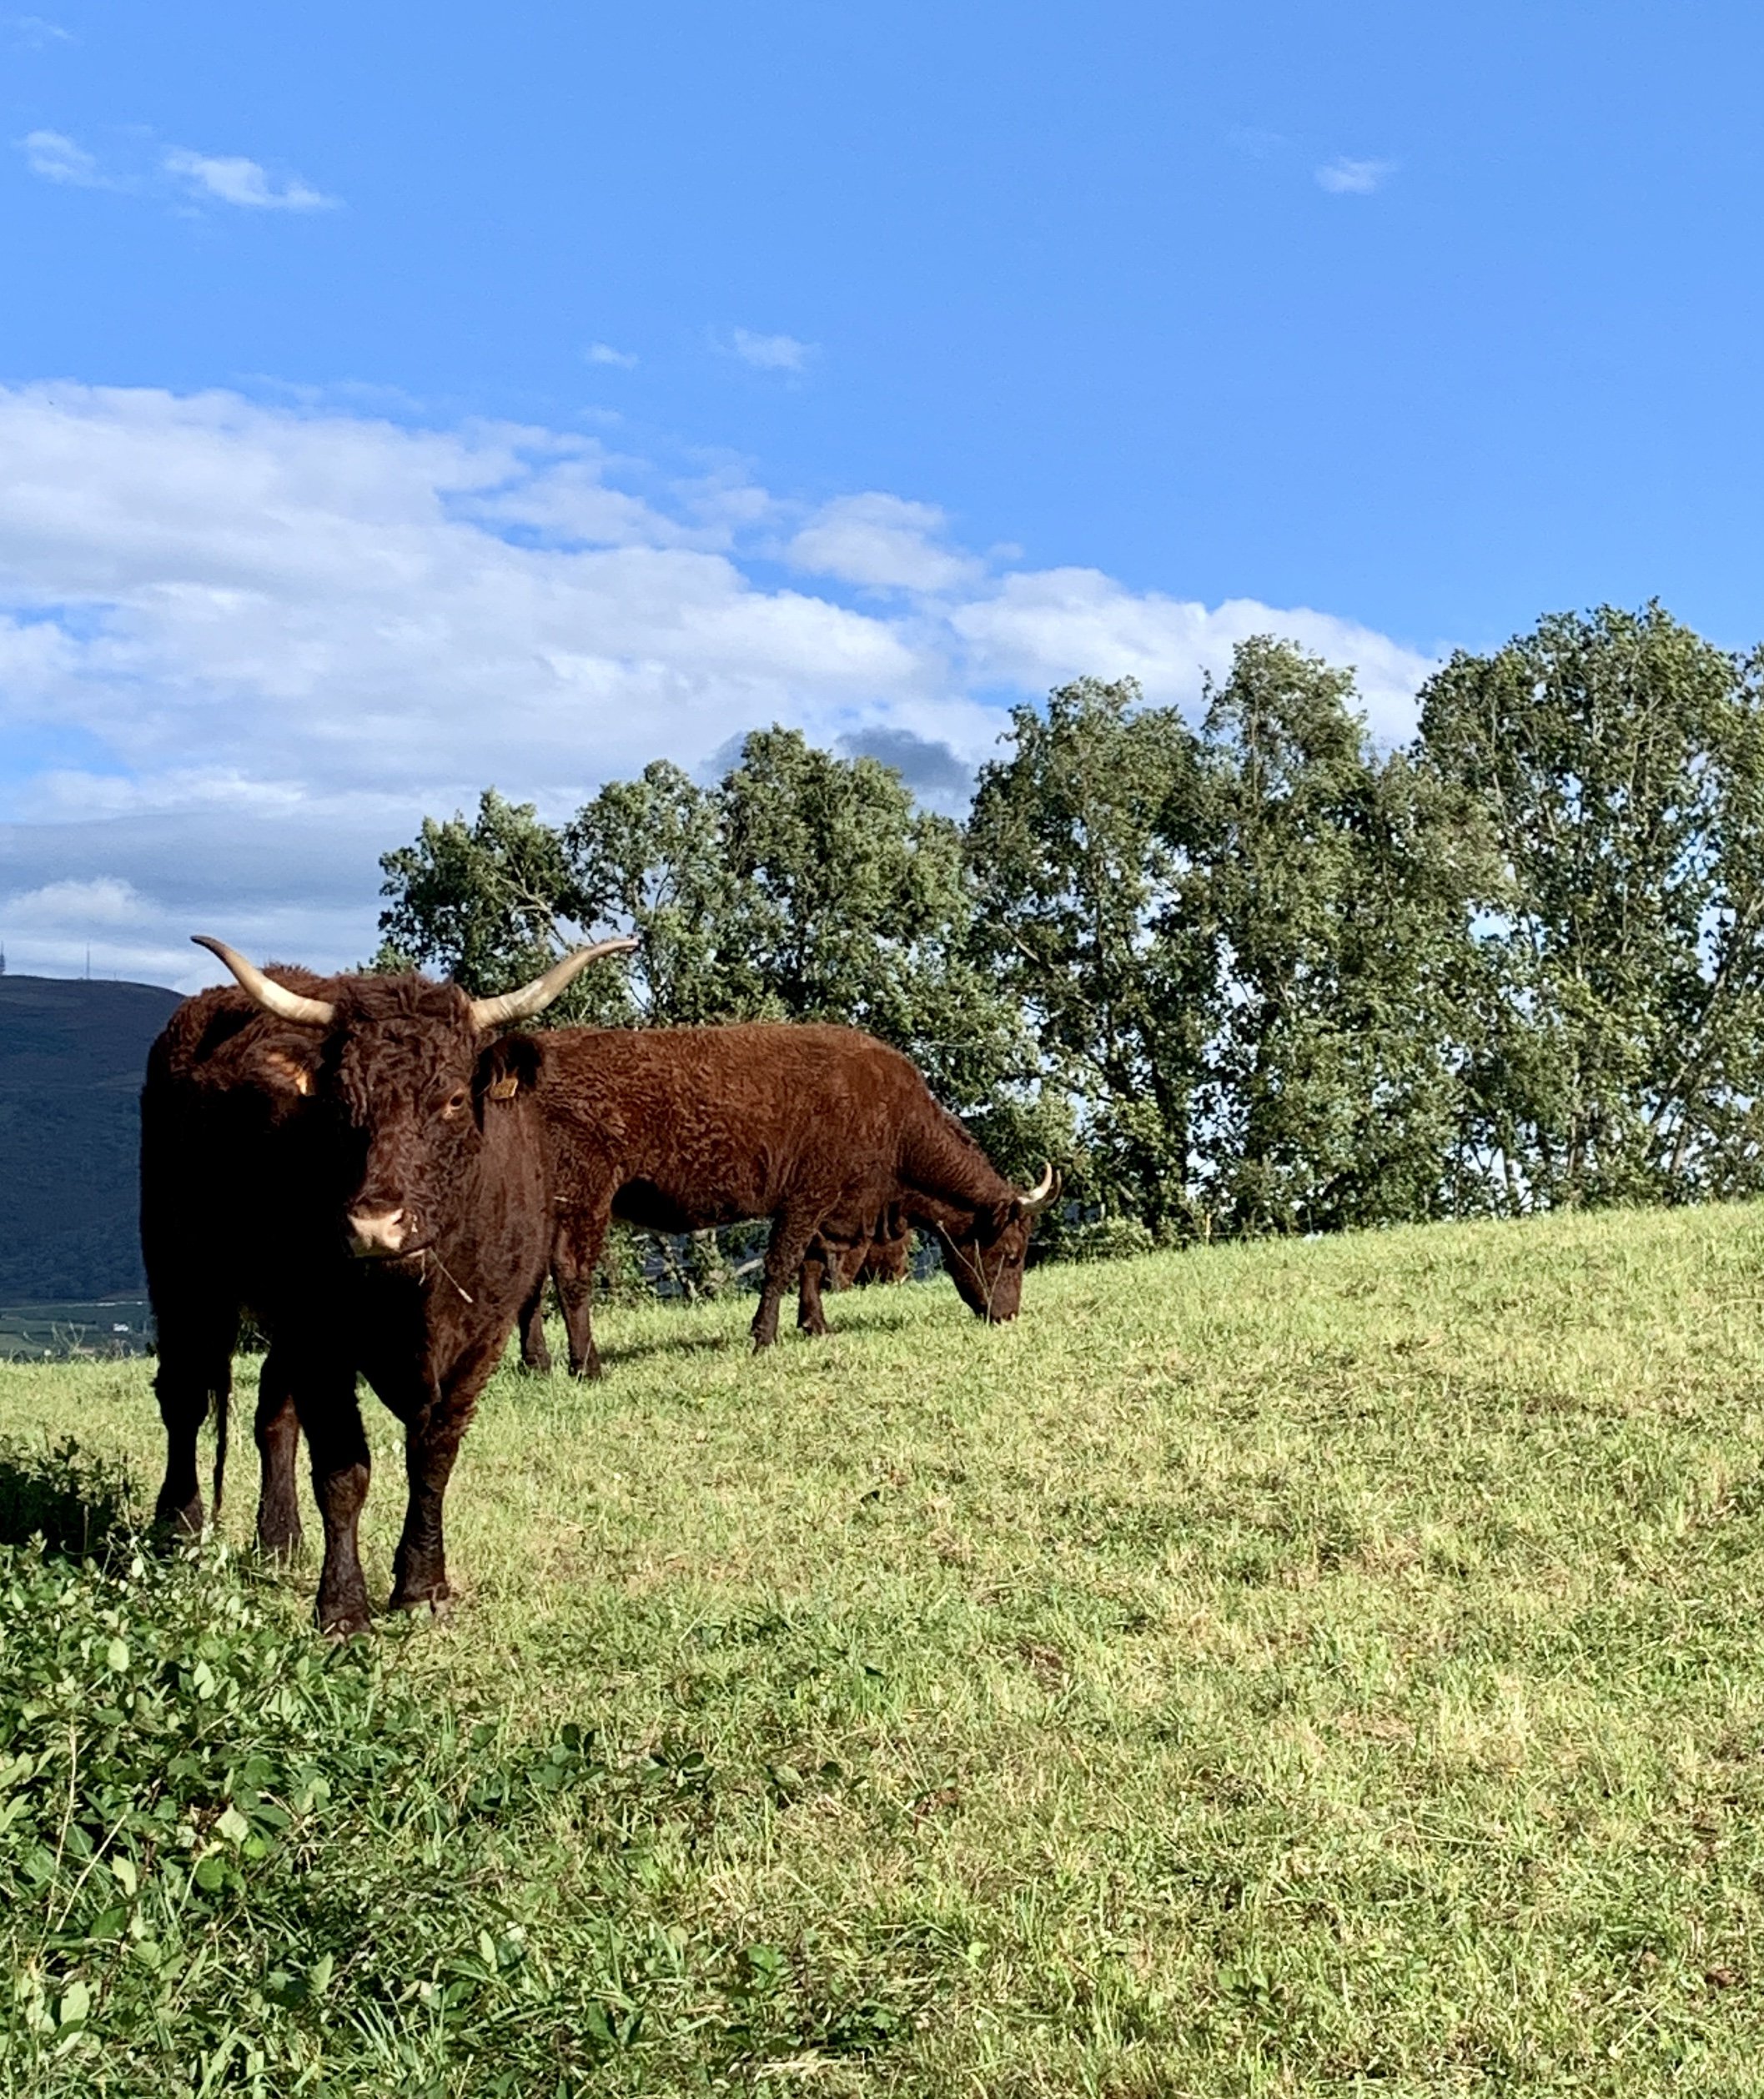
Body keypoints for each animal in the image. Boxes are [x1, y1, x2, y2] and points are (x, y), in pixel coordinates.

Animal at [141, 935, 633, 1633]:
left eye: (453, 1098)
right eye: (340, 1104)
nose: (375, 1225)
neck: (413, 1295)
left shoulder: (479, 1342)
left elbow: (432, 1460)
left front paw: (423, 1585)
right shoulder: (320, 1338)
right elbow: (344, 1471)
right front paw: (344, 1610)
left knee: (272, 1412)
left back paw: (279, 1538)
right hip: (179, 1269)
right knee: (184, 1398)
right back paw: (177, 1529)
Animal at [513, 1023, 1058, 1380]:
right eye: (1013, 1254)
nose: (1007, 1315)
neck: (894, 1120)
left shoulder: (831, 1211)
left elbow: (811, 1265)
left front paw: (815, 1324)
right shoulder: (805, 1198)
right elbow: (782, 1262)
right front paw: (764, 1336)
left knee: (532, 1279)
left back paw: (538, 1363)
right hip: (587, 1198)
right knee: (571, 1271)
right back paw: (587, 1366)